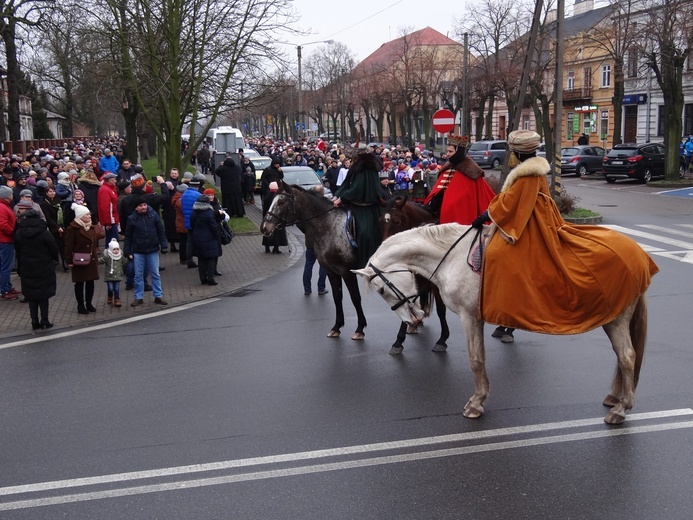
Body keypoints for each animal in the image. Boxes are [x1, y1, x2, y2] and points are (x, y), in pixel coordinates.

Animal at [356, 221, 648, 424]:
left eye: (380, 290)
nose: (413, 319)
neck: (453, 257)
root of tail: (638, 253)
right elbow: (480, 357)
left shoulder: (469, 317)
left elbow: (475, 359)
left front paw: (476, 404)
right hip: (612, 320)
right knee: (622, 356)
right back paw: (615, 398)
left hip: (616, 320)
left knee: (627, 356)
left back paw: (621, 409)